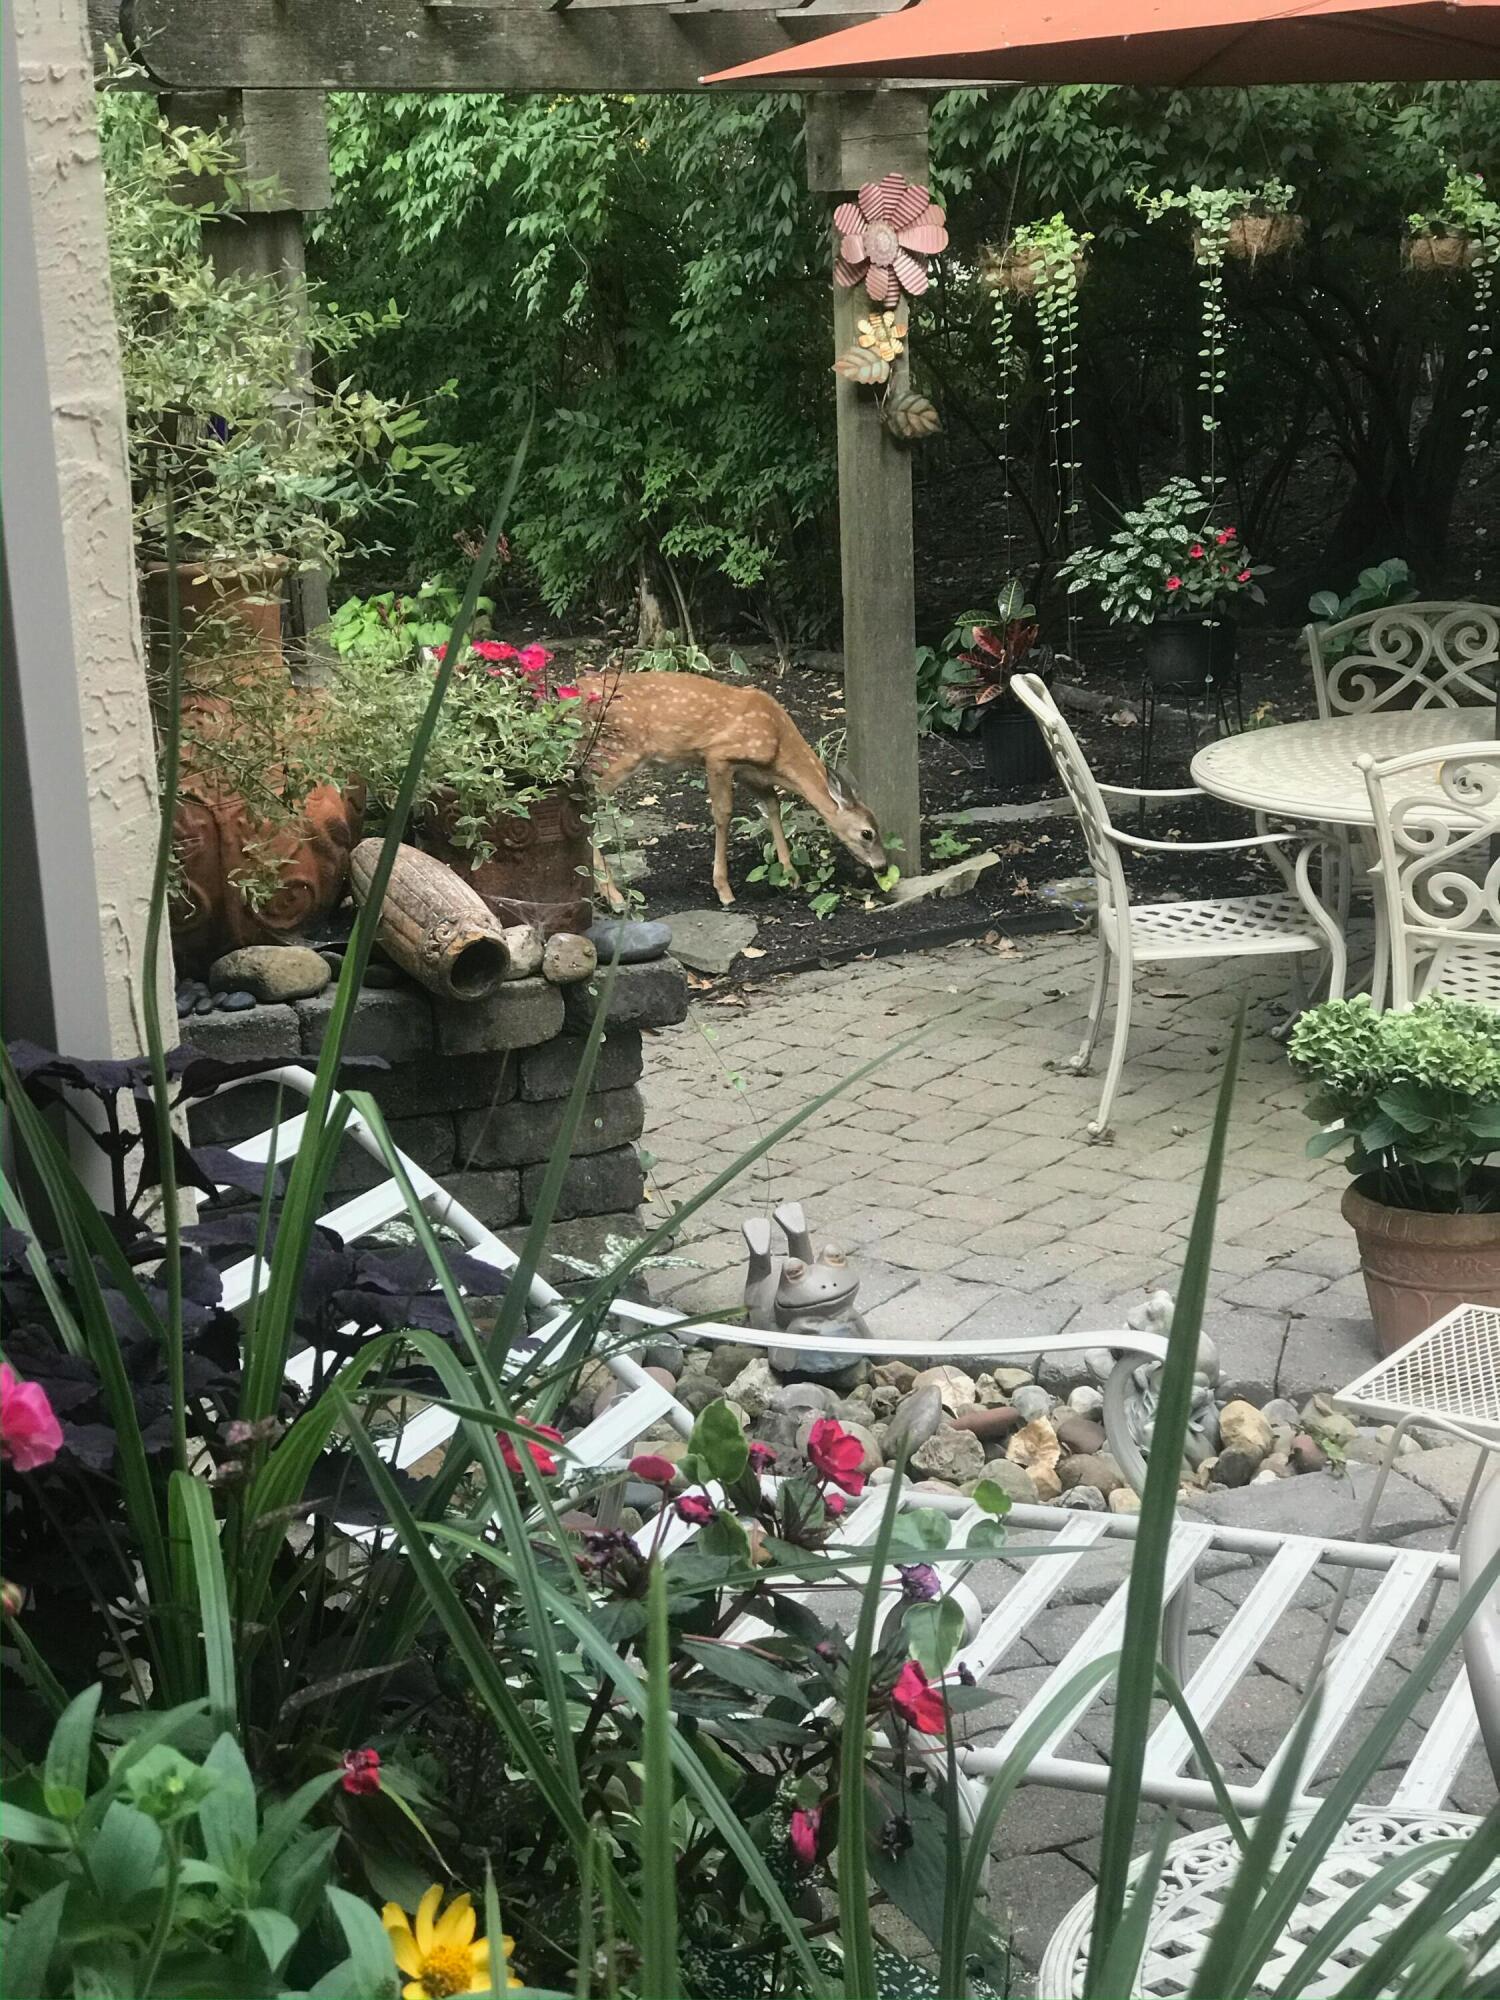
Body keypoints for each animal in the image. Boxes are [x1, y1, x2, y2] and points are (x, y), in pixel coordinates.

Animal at [578, 670, 888, 909]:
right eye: (867, 833)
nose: (883, 866)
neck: (778, 743)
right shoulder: (718, 755)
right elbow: (723, 814)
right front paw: (723, 889)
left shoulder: (750, 772)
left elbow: (772, 806)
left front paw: (791, 875)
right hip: (619, 751)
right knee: (589, 801)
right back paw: (614, 896)